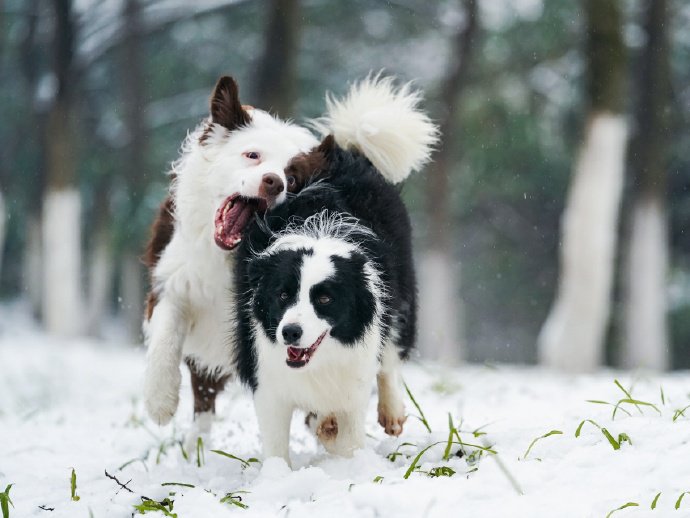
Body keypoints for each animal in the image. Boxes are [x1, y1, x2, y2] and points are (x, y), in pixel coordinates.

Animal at [231, 77, 436, 464]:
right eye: (282, 294)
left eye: (325, 299)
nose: (290, 333)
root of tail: (346, 148)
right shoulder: (267, 372)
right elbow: (277, 439)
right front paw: (278, 473)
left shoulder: (354, 372)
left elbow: (350, 431)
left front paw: (349, 462)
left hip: (403, 291)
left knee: (392, 351)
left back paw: (390, 411)